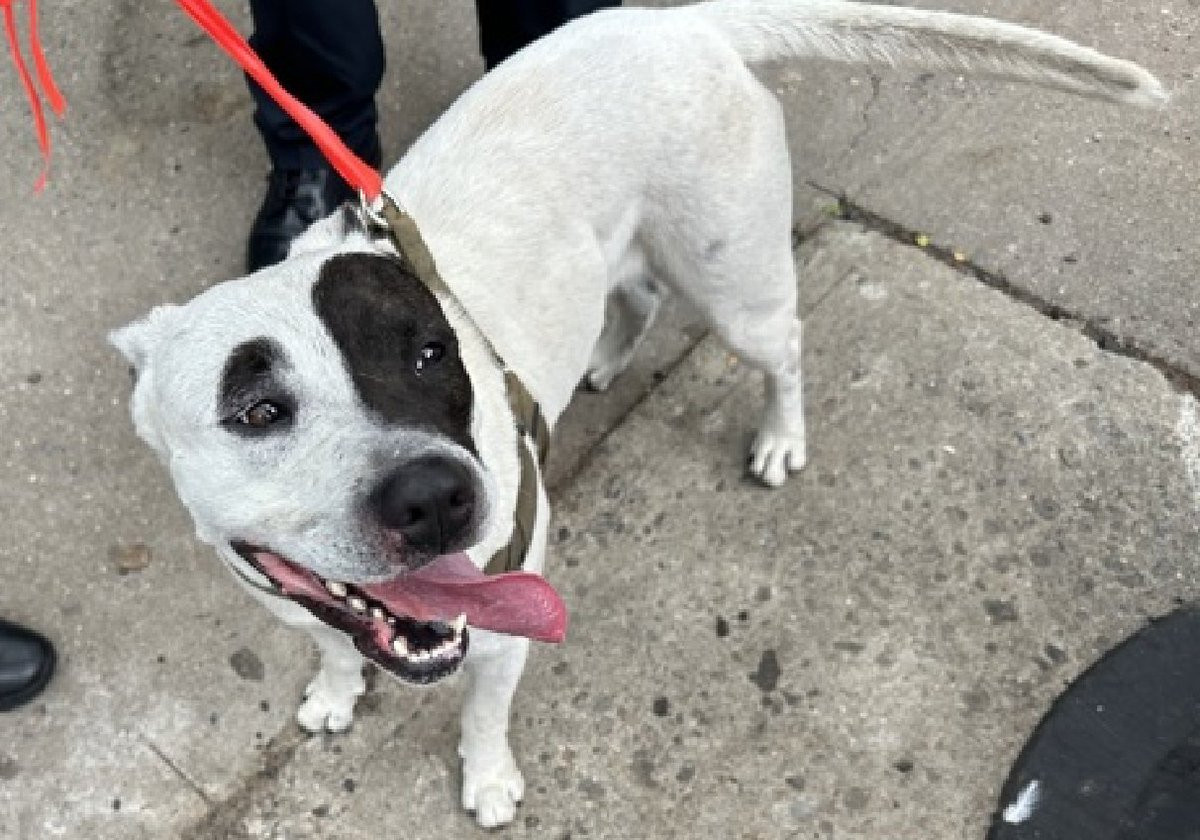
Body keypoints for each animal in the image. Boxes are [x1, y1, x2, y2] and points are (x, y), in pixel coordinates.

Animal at [111, 0, 1164, 827]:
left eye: (429, 354)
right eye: (257, 408)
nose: (438, 498)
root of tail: (680, 20)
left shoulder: (505, 627)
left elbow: (482, 714)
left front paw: (488, 781)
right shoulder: (292, 597)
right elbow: (334, 646)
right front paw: (335, 693)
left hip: (735, 284)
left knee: (783, 347)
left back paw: (781, 436)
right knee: (639, 295)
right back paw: (604, 361)